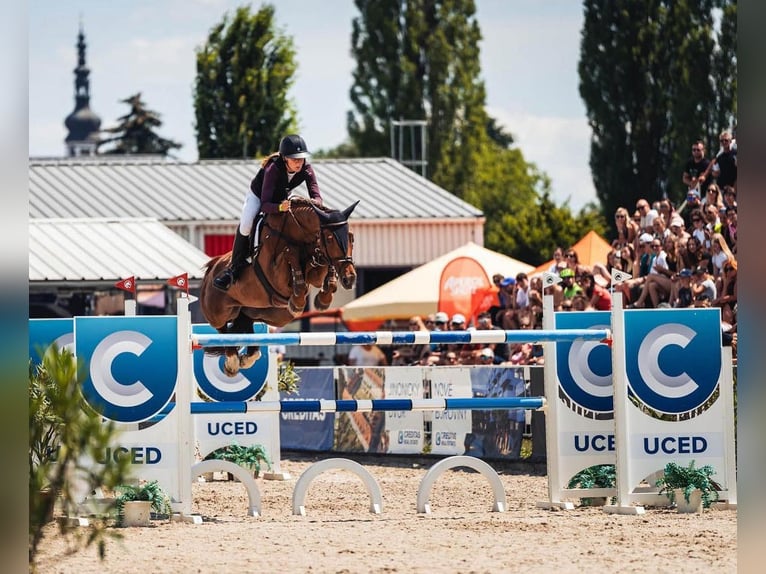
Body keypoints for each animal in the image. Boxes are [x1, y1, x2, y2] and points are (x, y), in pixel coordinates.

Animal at [202, 198, 362, 378]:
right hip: (218, 312)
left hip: (268, 314)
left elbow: (321, 272)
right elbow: (290, 258)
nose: (350, 279)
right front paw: (298, 299)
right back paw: (232, 363)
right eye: (329, 239)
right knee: (222, 330)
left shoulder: (314, 270)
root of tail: (211, 268)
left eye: (351, 238)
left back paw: (246, 358)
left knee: (245, 326)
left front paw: (323, 300)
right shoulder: (275, 275)